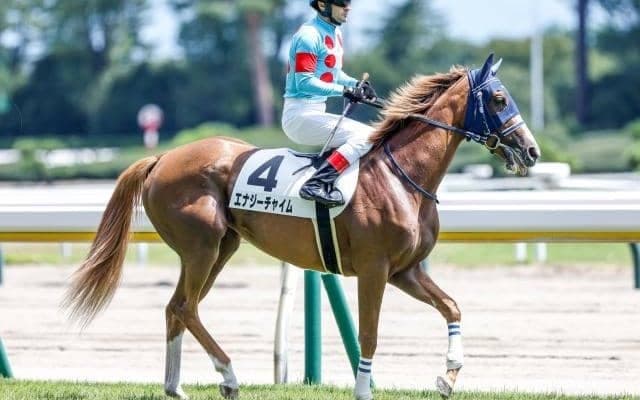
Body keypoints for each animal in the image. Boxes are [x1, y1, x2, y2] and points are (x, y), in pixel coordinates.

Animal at [63, 54, 540, 400]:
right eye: (499, 99)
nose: (532, 151)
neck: (402, 176)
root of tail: (161, 157)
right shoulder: (375, 269)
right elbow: (368, 335)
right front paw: (364, 392)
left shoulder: (406, 271)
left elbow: (452, 307)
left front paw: (448, 377)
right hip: (202, 247)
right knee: (185, 307)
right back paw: (228, 375)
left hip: (221, 248)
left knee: (176, 307)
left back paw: (175, 386)